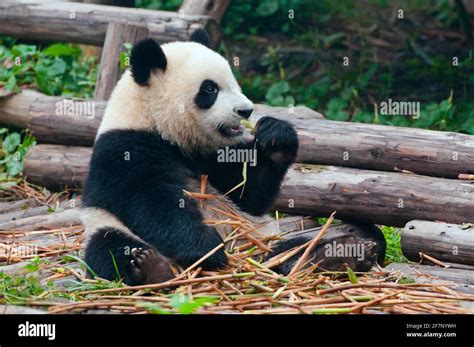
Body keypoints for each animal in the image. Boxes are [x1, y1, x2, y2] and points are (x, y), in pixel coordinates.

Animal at [81, 30, 386, 286]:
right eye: (210, 89)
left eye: (234, 82)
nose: (246, 110)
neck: (161, 128)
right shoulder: (124, 148)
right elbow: (151, 202)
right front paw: (206, 248)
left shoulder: (211, 154)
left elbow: (247, 194)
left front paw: (276, 137)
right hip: (105, 227)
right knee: (109, 248)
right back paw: (151, 268)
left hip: (260, 239)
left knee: (300, 245)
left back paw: (331, 255)